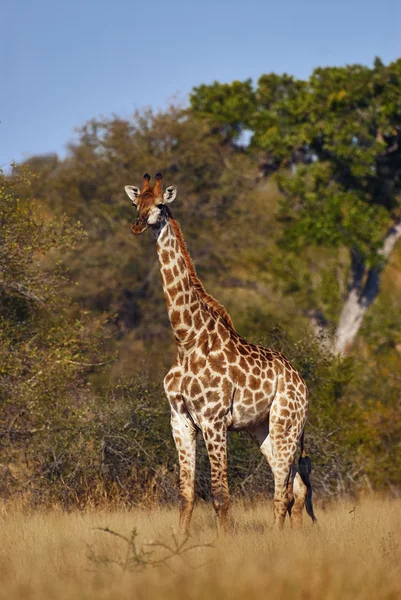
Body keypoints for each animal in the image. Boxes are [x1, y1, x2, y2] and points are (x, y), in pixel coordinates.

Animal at [125, 172, 316, 528]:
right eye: (135, 203)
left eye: (160, 205)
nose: (138, 225)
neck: (187, 339)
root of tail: (301, 382)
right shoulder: (180, 420)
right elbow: (186, 495)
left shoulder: (213, 420)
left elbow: (220, 495)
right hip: (262, 428)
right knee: (296, 488)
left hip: (286, 424)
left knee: (283, 491)